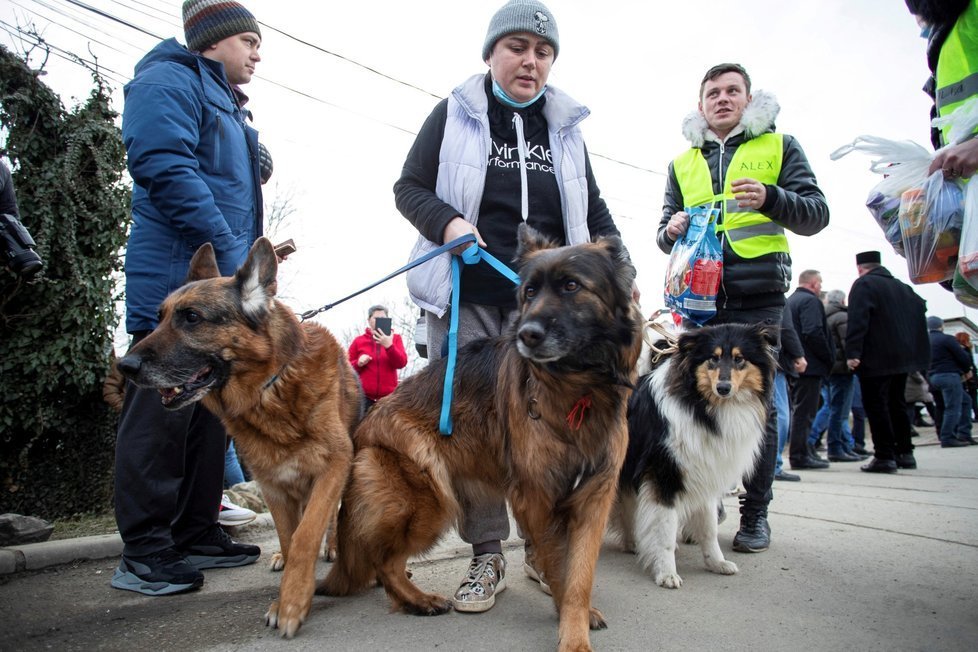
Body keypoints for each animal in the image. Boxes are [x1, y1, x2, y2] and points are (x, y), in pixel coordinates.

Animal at [117, 238, 360, 636]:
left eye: (192, 317)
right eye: (160, 317)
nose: (124, 367)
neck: (270, 387)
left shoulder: (333, 467)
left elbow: (307, 533)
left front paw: (293, 602)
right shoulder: (273, 484)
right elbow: (290, 538)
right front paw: (288, 590)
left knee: (329, 519)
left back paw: (333, 547)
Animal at [318, 225, 640, 652]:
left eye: (571, 286)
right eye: (529, 292)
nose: (526, 335)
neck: (578, 389)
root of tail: (363, 429)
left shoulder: (593, 499)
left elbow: (580, 573)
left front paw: (577, 618)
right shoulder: (536, 498)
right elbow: (559, 568)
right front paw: (570, 631)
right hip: (431, 501)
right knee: (382, 560)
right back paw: (419, 601)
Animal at [608, 324, 776, 588]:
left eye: (739, 358)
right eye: (713, 358)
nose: (723, 388)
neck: (702, 409)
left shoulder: (705, 474)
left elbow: (708, 528)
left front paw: (717, 563)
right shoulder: (664, 476)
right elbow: (666, 529)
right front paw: (666, 572)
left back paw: (633, 543)